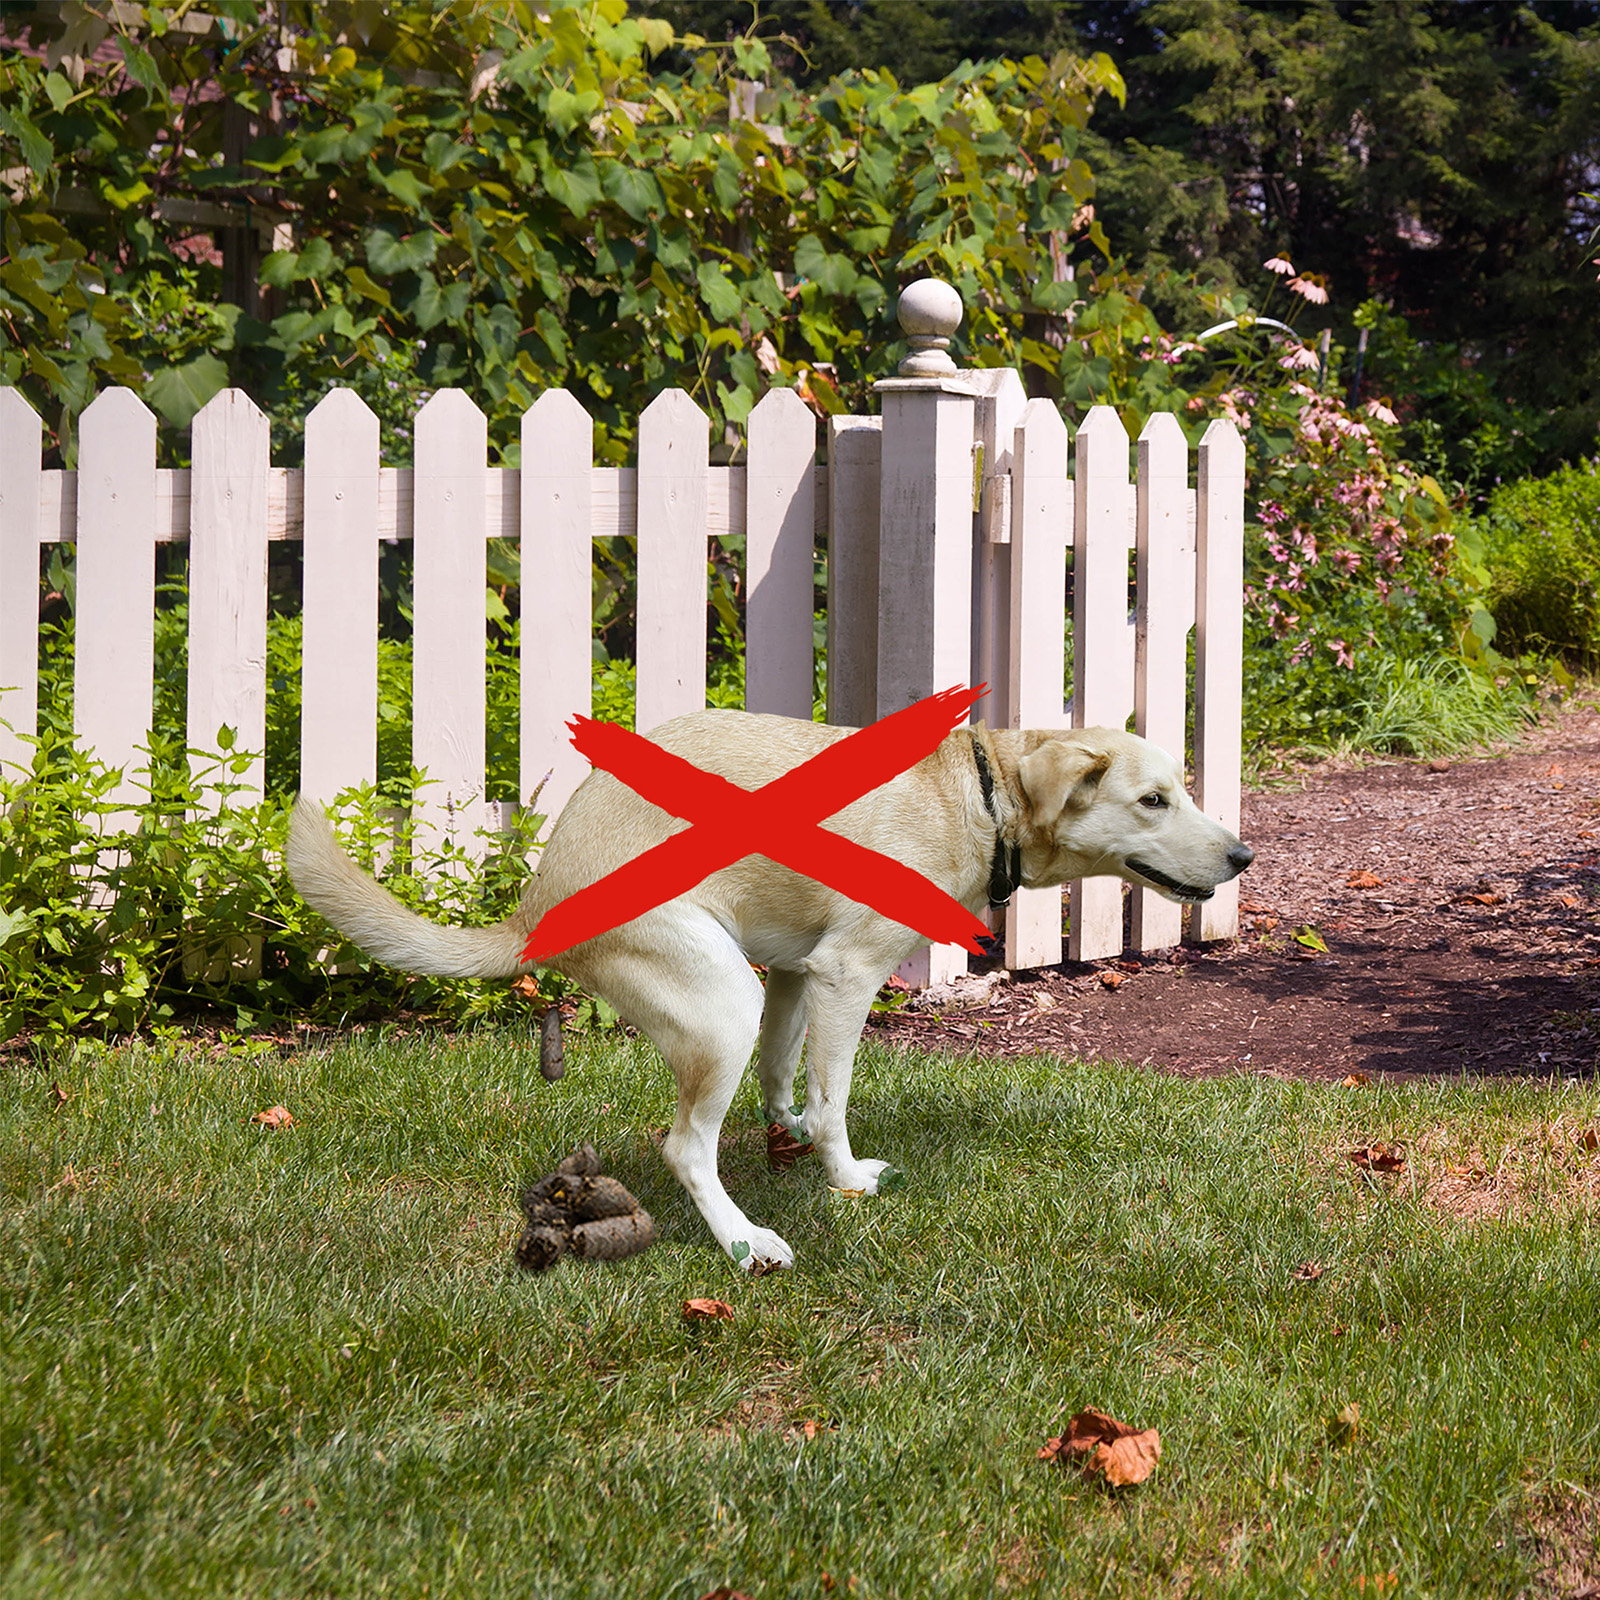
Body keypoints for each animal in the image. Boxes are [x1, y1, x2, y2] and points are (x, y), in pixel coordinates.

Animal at [288, 713, 1248, 1273]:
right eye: (1154, 800)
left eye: (1181, 789)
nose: (1242, 856)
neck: (977, 791)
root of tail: (537, 901)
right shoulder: (847, 974)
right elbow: (836, 1101)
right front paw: (844, 1178)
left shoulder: (795, 973)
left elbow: (792, 1081)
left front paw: (788, 1128)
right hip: (721, 1005)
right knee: (685, 1148)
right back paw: (745, 1239)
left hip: (744, 993)